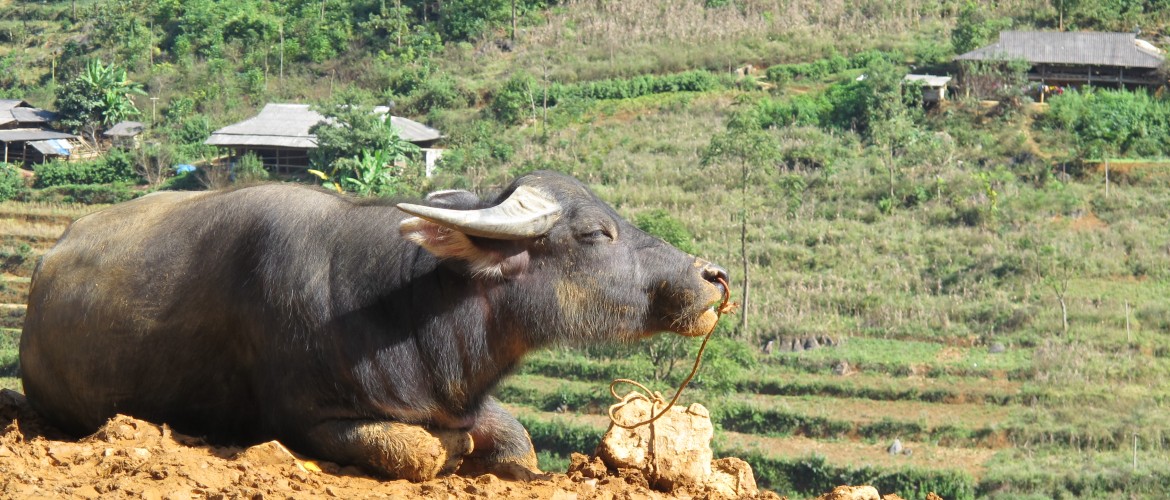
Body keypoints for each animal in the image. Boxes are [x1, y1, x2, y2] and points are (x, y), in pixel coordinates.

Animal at [18, 170, 725, 482]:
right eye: (595, 233)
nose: (713, 277)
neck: (406, 314)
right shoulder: (304, 420)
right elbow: (420, 451)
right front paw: (449, 451)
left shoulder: (464, 401)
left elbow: (517, 443)